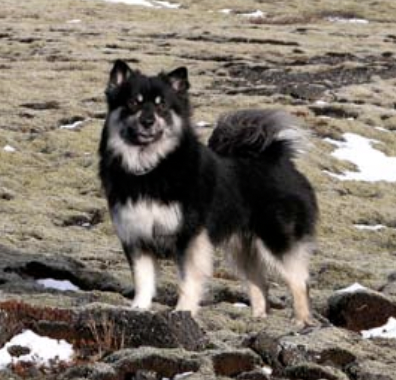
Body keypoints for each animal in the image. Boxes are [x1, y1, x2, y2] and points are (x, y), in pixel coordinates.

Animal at [99, 60, 318, 326]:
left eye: (162, 106)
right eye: (133, 102)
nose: (148, 121)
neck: (151, 167)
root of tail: (279, 159)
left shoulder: (188, 235)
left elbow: (186, 280)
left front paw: (182, 312)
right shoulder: (136, 236)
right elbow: (143, 280)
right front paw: (138, 310)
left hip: (276, 238)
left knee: (299, 281)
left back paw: (302, 321)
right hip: (242, 247)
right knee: (260, 283)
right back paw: (258, 318)